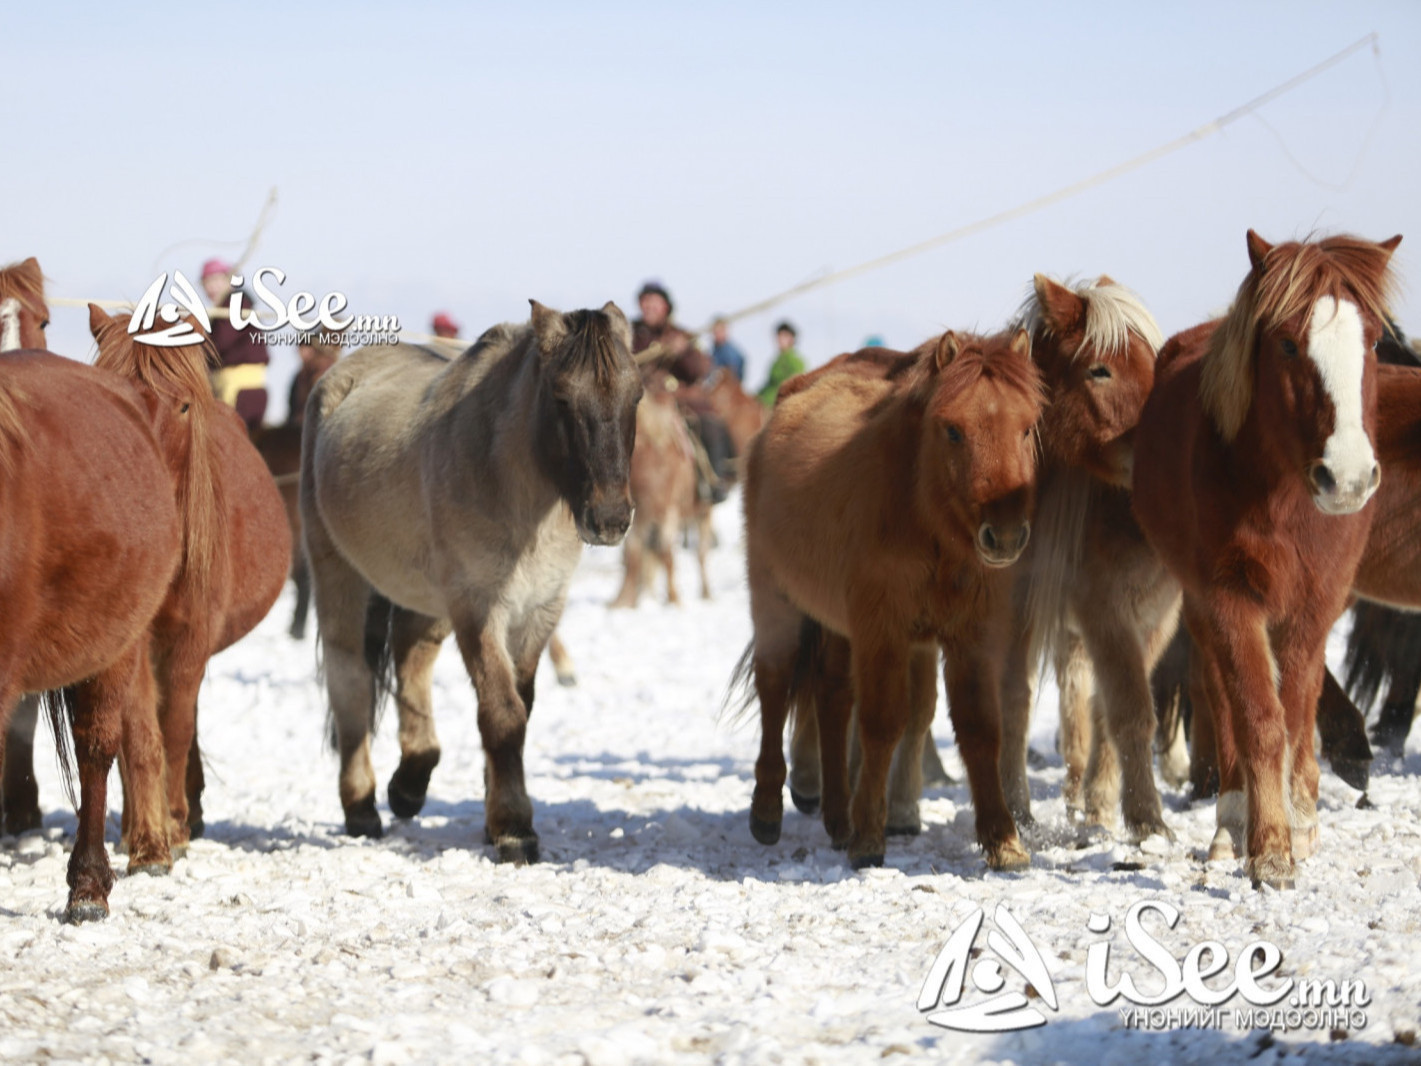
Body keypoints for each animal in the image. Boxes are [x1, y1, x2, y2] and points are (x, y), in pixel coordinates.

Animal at [302, 298, 642, 858]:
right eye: (561, 397)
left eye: (636, 395)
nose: (610, 518)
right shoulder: (479, 608)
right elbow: (502, 713)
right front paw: (515, 829)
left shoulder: (538, 611)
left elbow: (520, 706)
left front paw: (493, 816)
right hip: (341, 577)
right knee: (349, 681)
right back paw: (362, 807)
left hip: (426, 600)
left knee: (411, 661)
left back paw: (409, 784)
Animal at [608, 369, 707, 608]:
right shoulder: (636, 517)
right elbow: (633, 555)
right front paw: (623, 601)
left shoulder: (667, 512)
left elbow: (665, 553)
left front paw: (673, 599)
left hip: (702, 514)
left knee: (701, 554)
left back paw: (706, 593)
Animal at [744, 329, 1045, 869]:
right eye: (952, 430)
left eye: (1028, 427)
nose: (1006, 534)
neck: (926, 521)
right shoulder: (882, 631)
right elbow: (883, 723)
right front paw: (869, 838)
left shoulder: (970, 636)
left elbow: (980, 728)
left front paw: (1002, 839)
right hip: (775, 600)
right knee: (775, 686)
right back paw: (768, 811)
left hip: (836, 624)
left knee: (832, 696)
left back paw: (837, 817)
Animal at [1131, 233, 1398, 892]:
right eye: (1288, 344)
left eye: (1372, 342)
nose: (1348, 477)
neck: (1281, 495)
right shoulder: (1229, 598)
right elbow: (1258, 717)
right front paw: (1269, 848)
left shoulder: (1315, 603)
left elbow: (1298, 712)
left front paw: (1298, 827)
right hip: (1203, 608)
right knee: (1221, 696)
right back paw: (1232, 822)